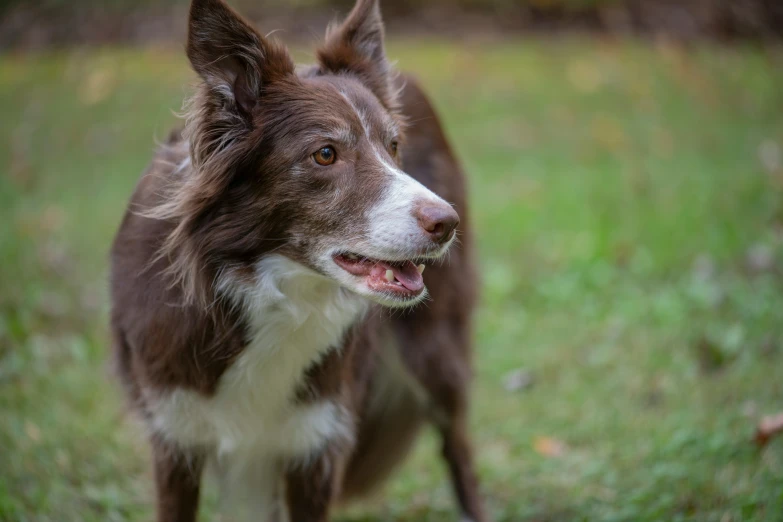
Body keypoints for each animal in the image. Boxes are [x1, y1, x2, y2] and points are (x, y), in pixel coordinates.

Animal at [112, 0, 486, 516]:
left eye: (393, 147)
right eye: (325, 154)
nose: (447, 223)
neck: (264, 291)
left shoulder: (316, 441)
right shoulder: (174, 437)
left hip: (436, 351)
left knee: (460, 450)